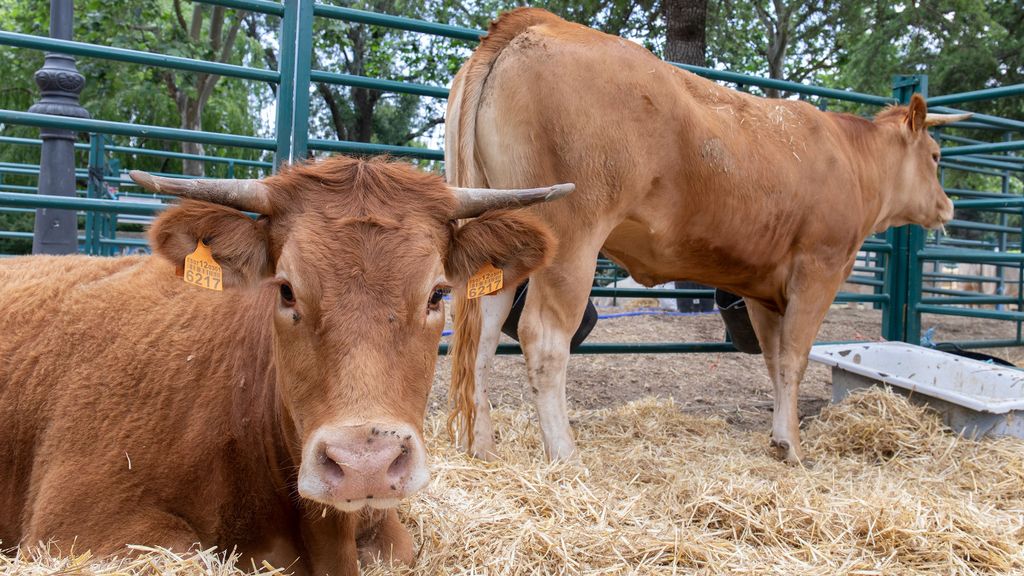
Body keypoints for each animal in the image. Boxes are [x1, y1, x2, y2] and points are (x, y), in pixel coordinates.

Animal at [446, 8, 966, 463]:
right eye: (936, 155)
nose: (949, 205)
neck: (852, 159)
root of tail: (539, 21)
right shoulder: (821, 267)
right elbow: (795, 359)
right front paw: (794, 447)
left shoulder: (763, 288)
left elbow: (775, 361)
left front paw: (778, 439)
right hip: (571, 238)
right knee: (543, 337)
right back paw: (566, 456)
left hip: (504, 232)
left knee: (481, 338)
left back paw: (481, 447)